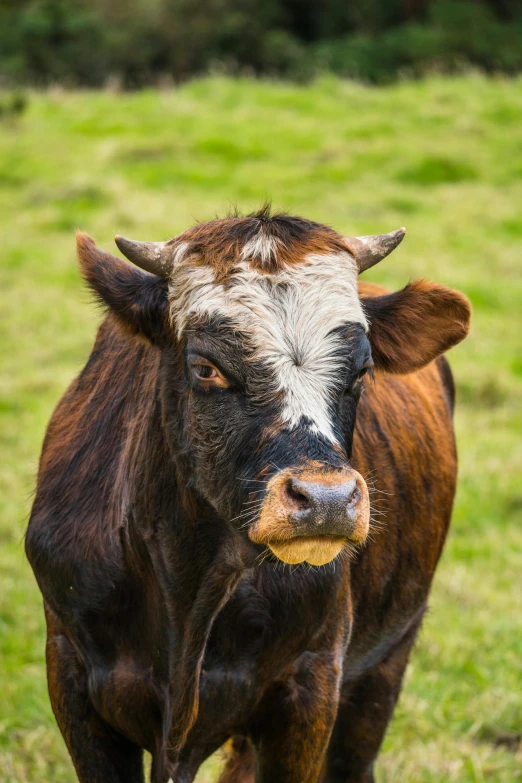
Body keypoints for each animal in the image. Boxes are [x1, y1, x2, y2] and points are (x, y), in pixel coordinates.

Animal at [26, 208, 470, 783]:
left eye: (362, 369)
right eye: (206, 367)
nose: (326, 500)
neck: (190, 586)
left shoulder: (311, 685)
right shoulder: (72, 672)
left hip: (387, 659)